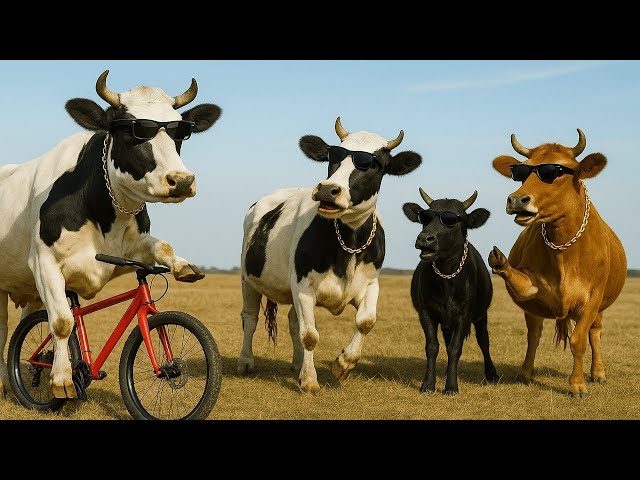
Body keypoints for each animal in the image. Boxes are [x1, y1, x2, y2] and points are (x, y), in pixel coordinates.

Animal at [0, 70, 222, 399]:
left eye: (180, 132)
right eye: (134, 130)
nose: (181, 180)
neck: (101, 210)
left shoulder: (128, 250)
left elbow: (162, 246)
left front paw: (182, 265)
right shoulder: (43, 262)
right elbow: (63, 322)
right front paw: (62, 380)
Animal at [237, 118, 422, 393]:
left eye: (374, 164)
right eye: (332, 156)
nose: (328, 190)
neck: (349, 242)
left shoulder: (370, 283)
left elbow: (366, 321)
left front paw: (343, 364)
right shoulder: (303, 287)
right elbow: (310, 335)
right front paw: (310, 381)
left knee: (293, 321)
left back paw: (297, 364)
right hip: (248, 279)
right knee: (250, 318)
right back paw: (246, 362)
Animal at [403, 188, 498, 395]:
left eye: (453, 219)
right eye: (425, 217)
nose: (425, 238)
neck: (446, 280)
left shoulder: (465, 313)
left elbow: (456, 347)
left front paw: (451, 387)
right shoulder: (426, 312)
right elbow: (433, 347)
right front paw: (428, 385)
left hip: (481, 315)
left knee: (483, 340)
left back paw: (492, 374)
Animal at [488, 129, 627, 397]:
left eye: (556, 171)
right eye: (521, 171)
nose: (517, 200)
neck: (565, 251)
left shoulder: (593, 298)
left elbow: (579, 340)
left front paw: (578, 384)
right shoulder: (533, 288)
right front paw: (500, 262)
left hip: (601, 308)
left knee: (595, 333)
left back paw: (598, 373)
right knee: (534, 334)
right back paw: (526, 373)